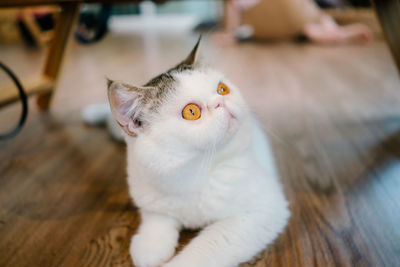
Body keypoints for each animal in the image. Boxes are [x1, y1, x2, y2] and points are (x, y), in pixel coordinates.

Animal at [104, 38, 290, 267]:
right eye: (191, 111)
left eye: (222, 89)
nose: (221, 101)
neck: (195, 173)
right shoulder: (151, 198)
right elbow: (157, 220)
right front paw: (149, 246)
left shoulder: (263, 210)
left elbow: (204, 249)